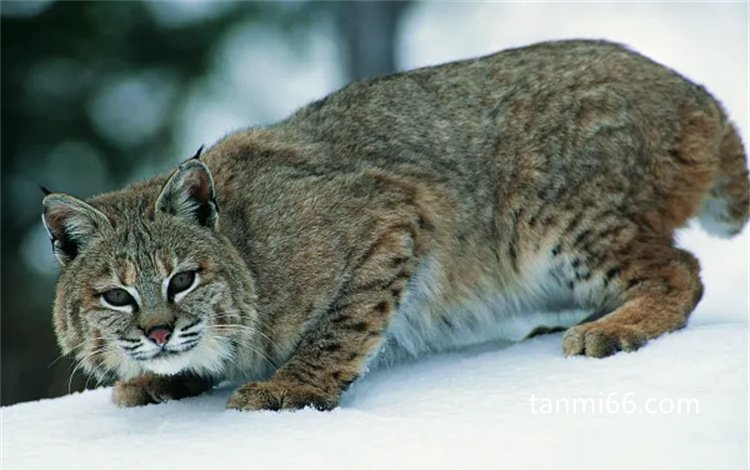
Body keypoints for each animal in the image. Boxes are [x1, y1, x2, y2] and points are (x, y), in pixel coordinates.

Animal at [44, 40, 748, 410]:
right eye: (117, 296)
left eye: (183, 280)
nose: (159, 333)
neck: (245, 251)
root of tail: (693, 89)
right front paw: (154, 380)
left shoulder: (391, 214)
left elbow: (339, 327)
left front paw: (287, 389)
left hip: (549, 215)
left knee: (683, 269)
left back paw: (613, 327)